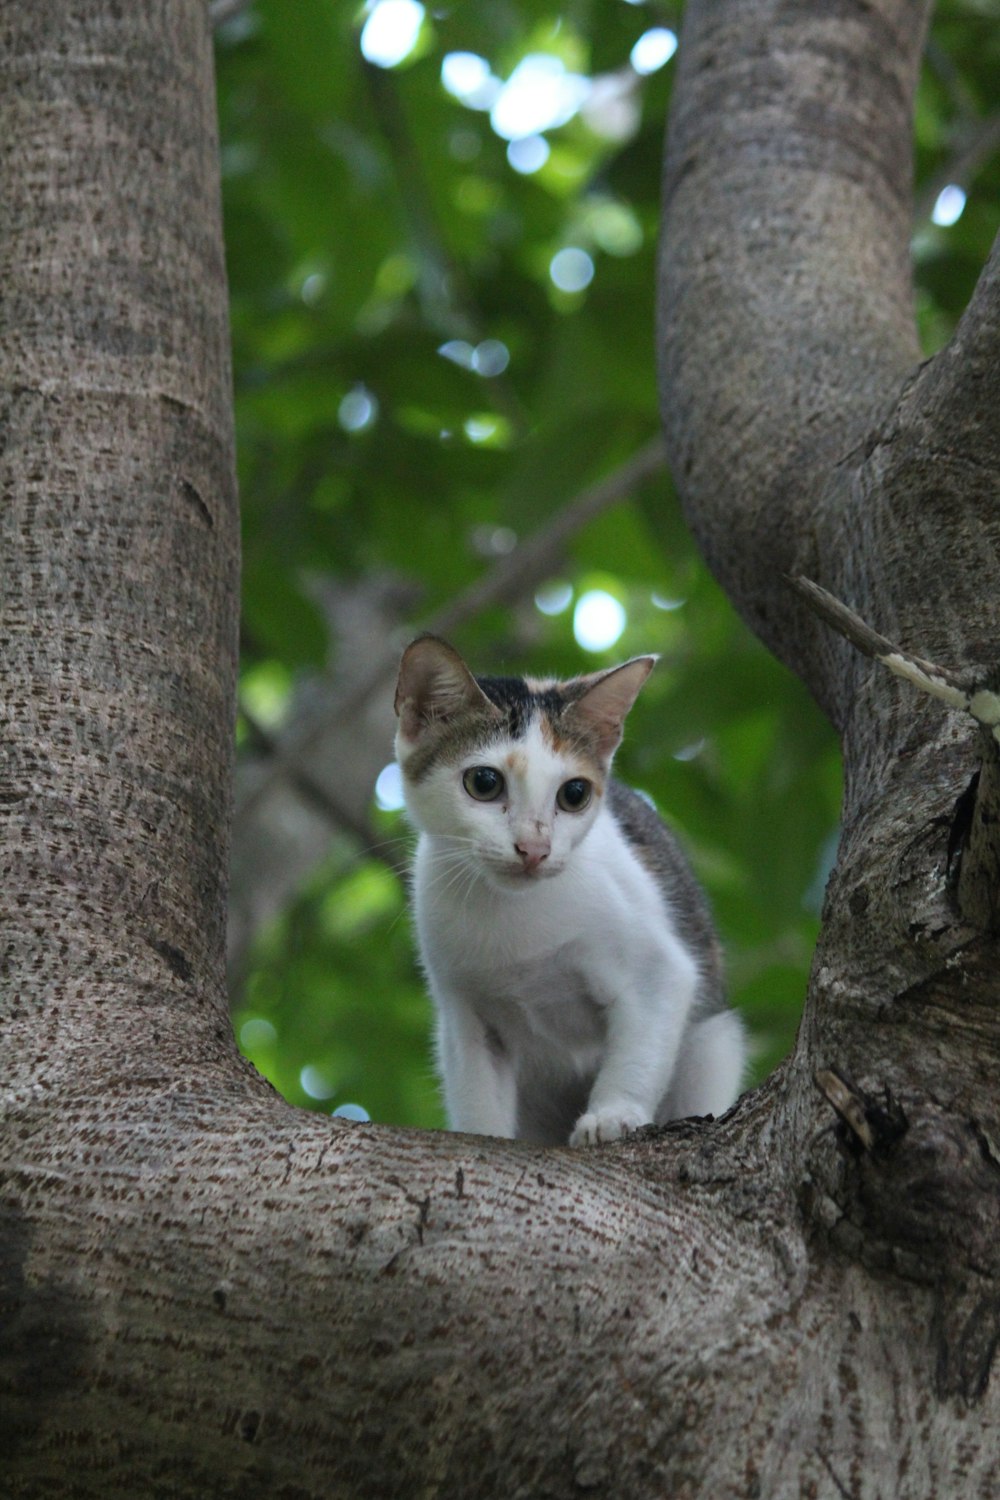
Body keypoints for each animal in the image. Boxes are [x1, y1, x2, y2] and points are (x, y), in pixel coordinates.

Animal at [395, 636, 746, 1146]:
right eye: (484, 782)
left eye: (574, 794)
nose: (534, 849)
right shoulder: (464, 1015)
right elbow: (476, 1088)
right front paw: (484, 1135)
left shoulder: (660, 970)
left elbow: (641, 1044)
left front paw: (612, 1115)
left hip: (713, 1043)